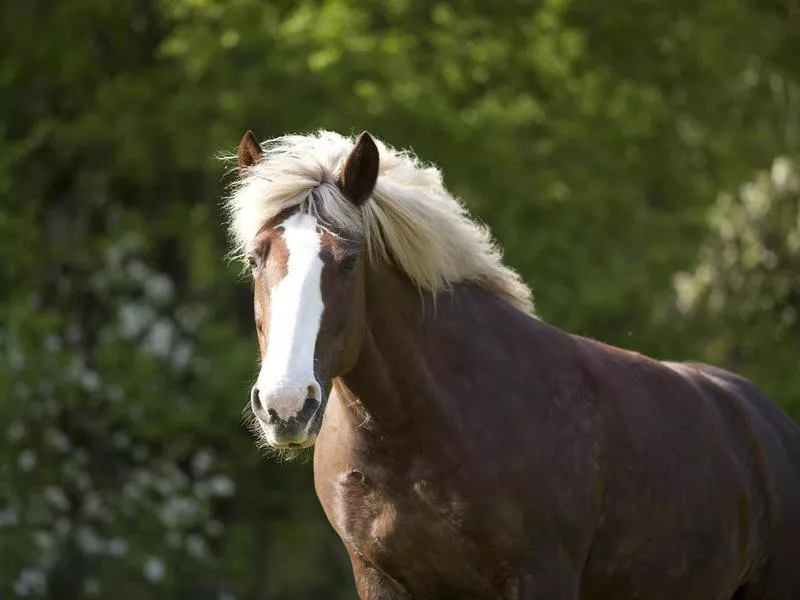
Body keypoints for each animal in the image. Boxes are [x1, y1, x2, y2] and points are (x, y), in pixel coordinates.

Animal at [222, 129, 800, 596]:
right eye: (256, 257)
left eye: (346, 262)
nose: (285, 406)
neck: (421, 430)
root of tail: (764, 421)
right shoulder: (379, 578)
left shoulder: (540, 576)